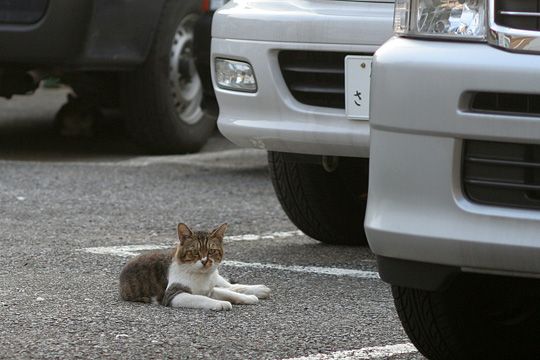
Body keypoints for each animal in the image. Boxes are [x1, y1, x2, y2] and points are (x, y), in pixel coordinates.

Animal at [118, 222, 270, 310]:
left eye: (211, 251)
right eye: (195, 252)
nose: (205, 261)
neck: (202, 276)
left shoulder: (210, 289)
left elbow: (229, 293)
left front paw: (248, 298)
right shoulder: (173, 295)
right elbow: (202, 298)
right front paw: (220, 303)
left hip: (217, 278)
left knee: (230, 286)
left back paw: (258, 290)